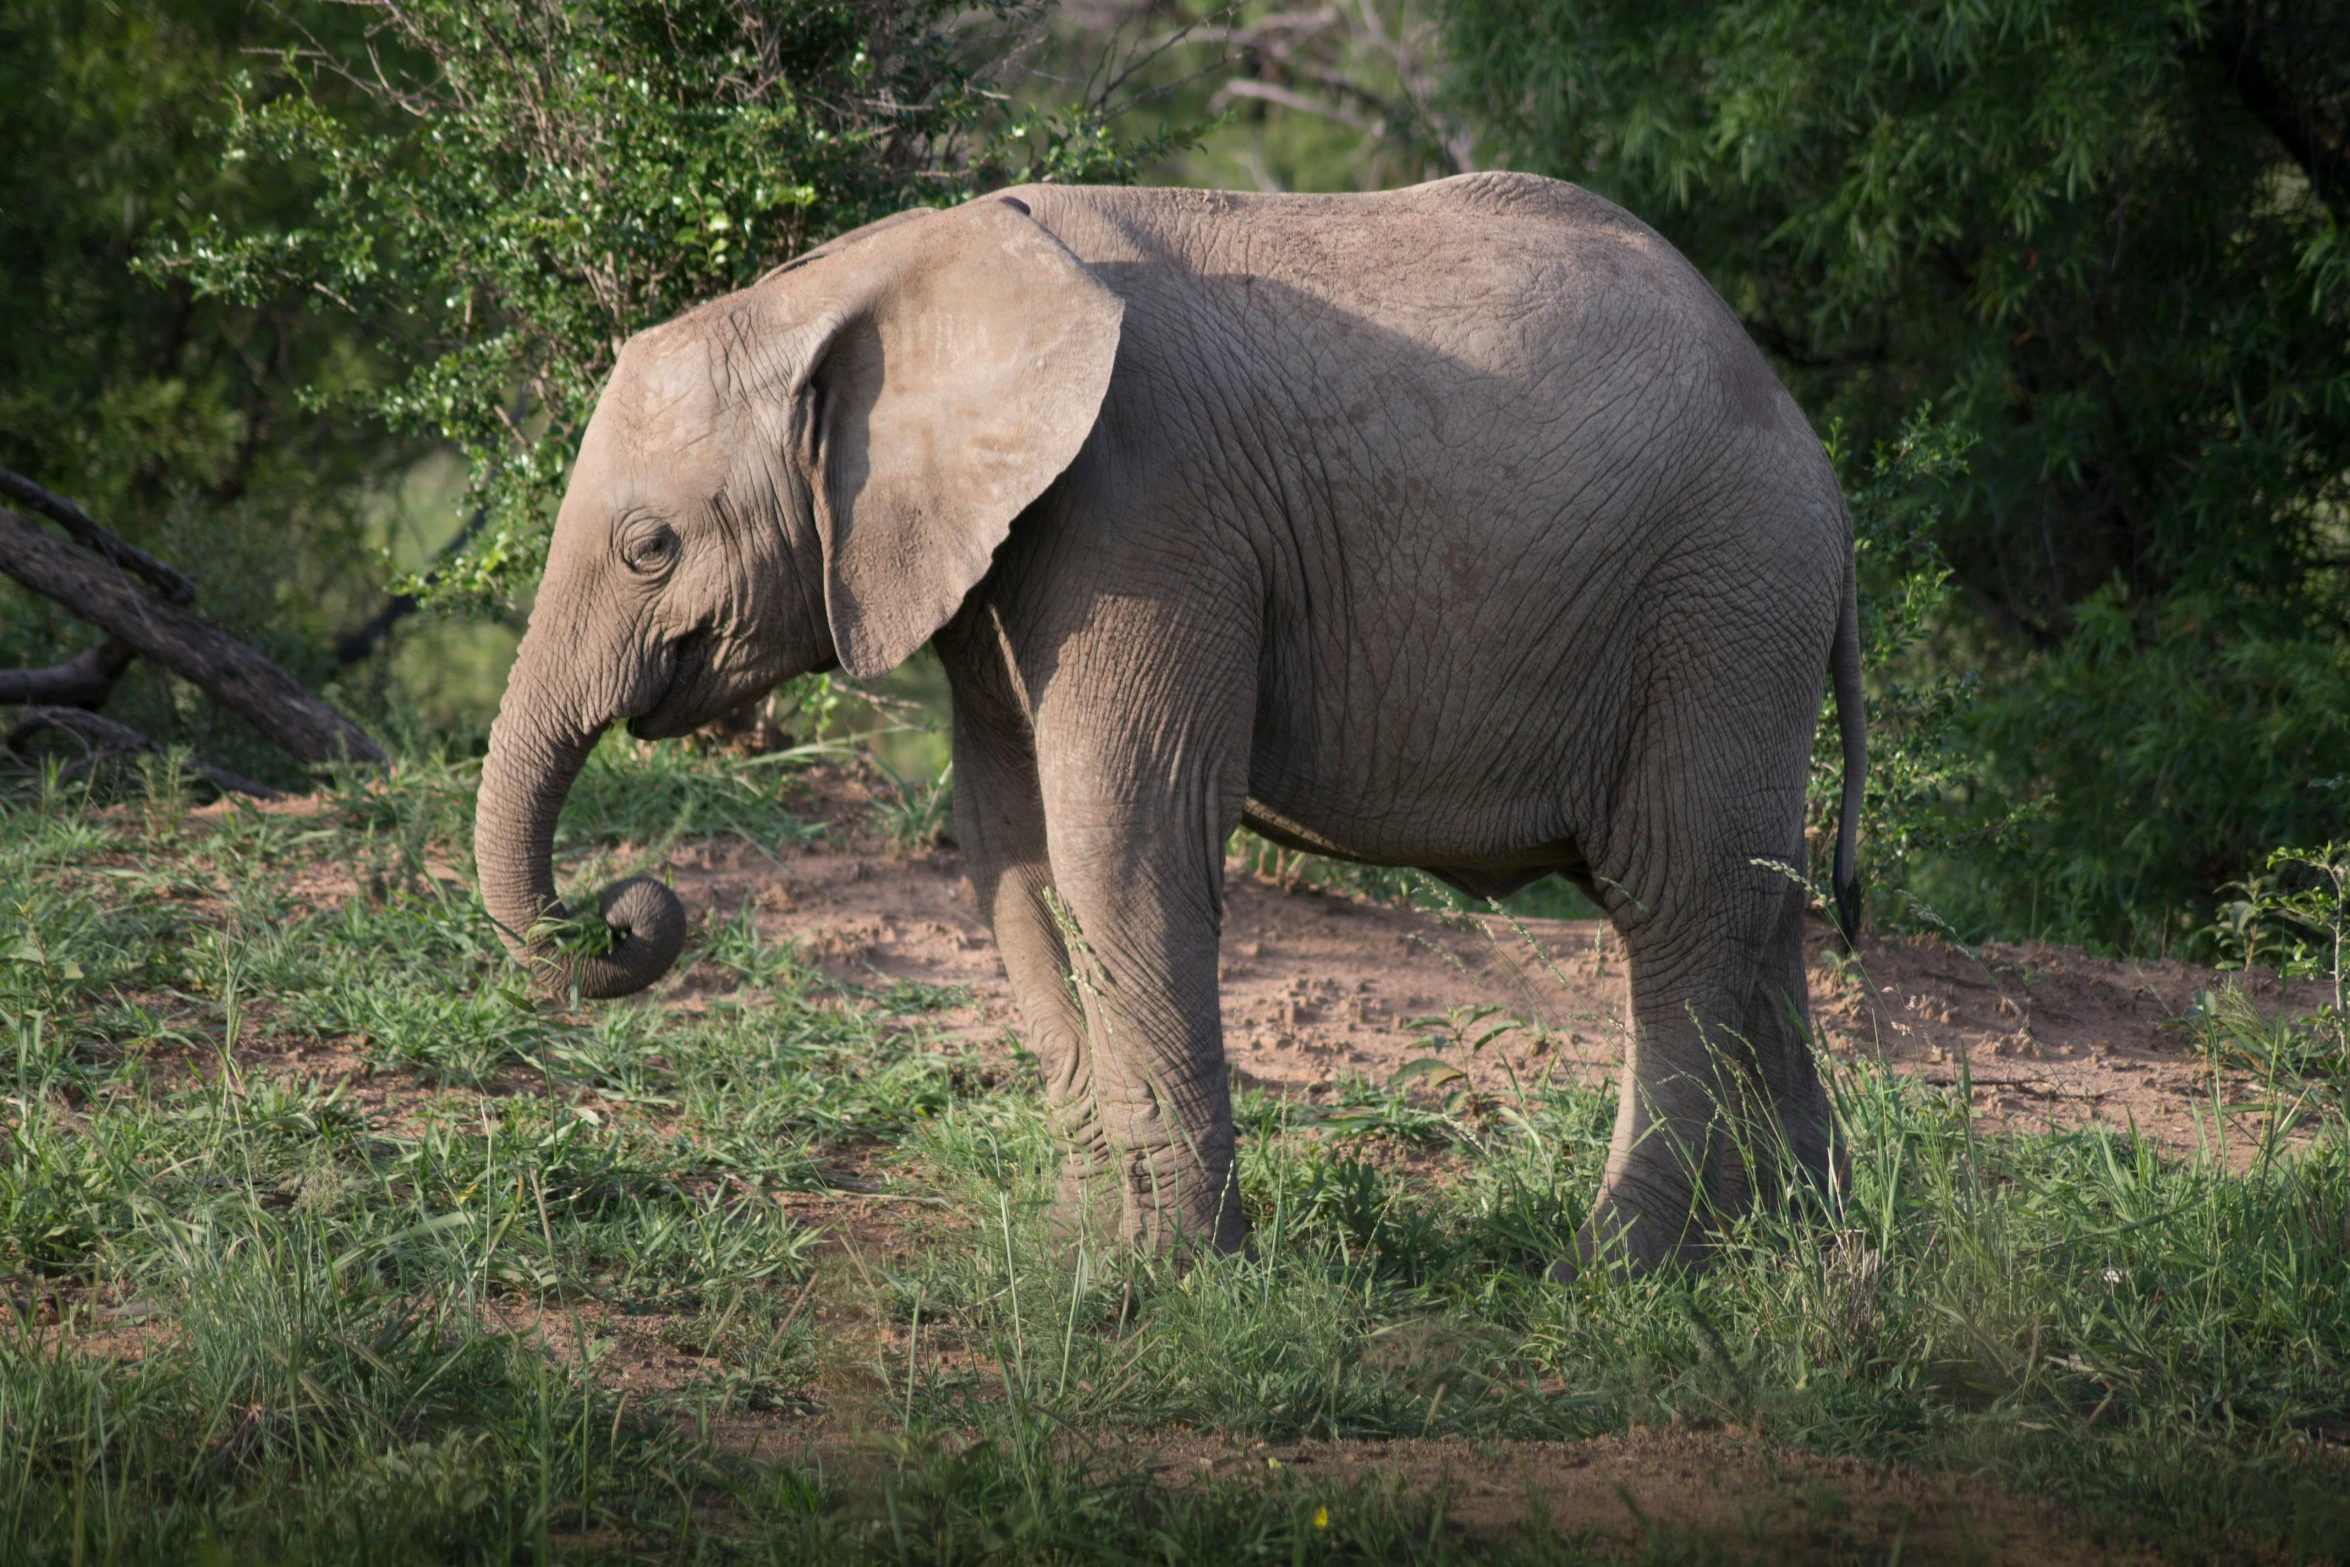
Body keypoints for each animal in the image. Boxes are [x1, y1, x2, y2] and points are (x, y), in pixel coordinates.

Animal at [481, 175, 1870, 1278]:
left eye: (650, 548)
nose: (629, 907)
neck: (883, 271)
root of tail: (1820, 461)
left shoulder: (1146, 512)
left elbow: (1122, 836)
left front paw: (1175, 1278)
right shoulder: (1001, 554)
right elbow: (1008, 846)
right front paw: (1076, 1252)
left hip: (1723, 596)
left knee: (1678, 899)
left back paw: (1615, 1272)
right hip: (1737, 616)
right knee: (1757, 906)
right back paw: (1813, 1249)